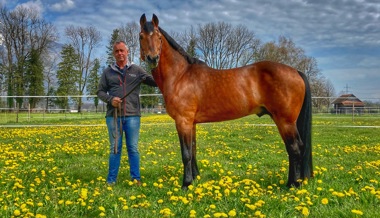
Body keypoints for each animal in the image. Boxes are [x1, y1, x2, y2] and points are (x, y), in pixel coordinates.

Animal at [139, 13, 312, 189]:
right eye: (141, 36)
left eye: (159, 37)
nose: (152, 58)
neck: (180, 75)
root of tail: (295, 71)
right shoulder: (191, 123)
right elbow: (193, 150)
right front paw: (195, 179)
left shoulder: (183, 121)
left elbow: (186, 154)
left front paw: (186, 184)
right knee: (292, 149)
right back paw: (291, 182)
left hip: (285, 121)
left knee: (295, 148)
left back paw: (294, 185)